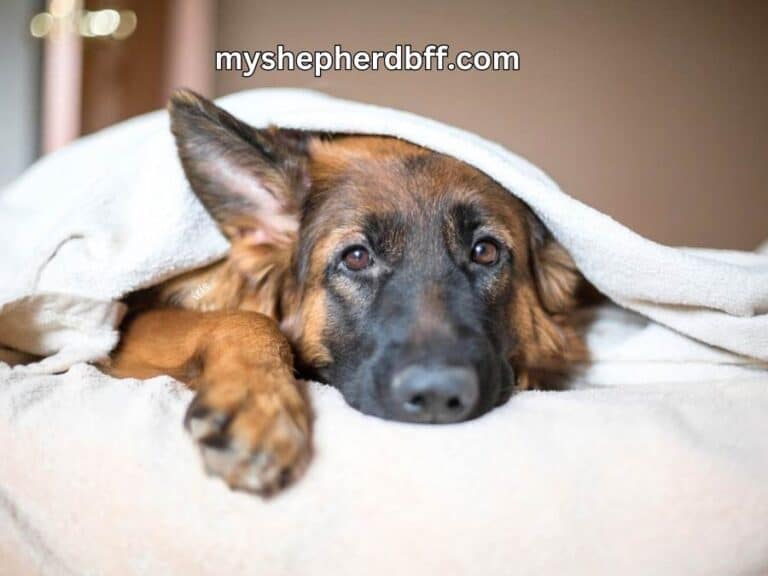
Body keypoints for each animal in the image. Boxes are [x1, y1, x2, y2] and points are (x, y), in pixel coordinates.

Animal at [106, 90, 588, 496]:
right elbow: (248, 319)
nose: (437, 396)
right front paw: (257, 403)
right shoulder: (128, 330)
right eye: (356, 257)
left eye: (485, 251)